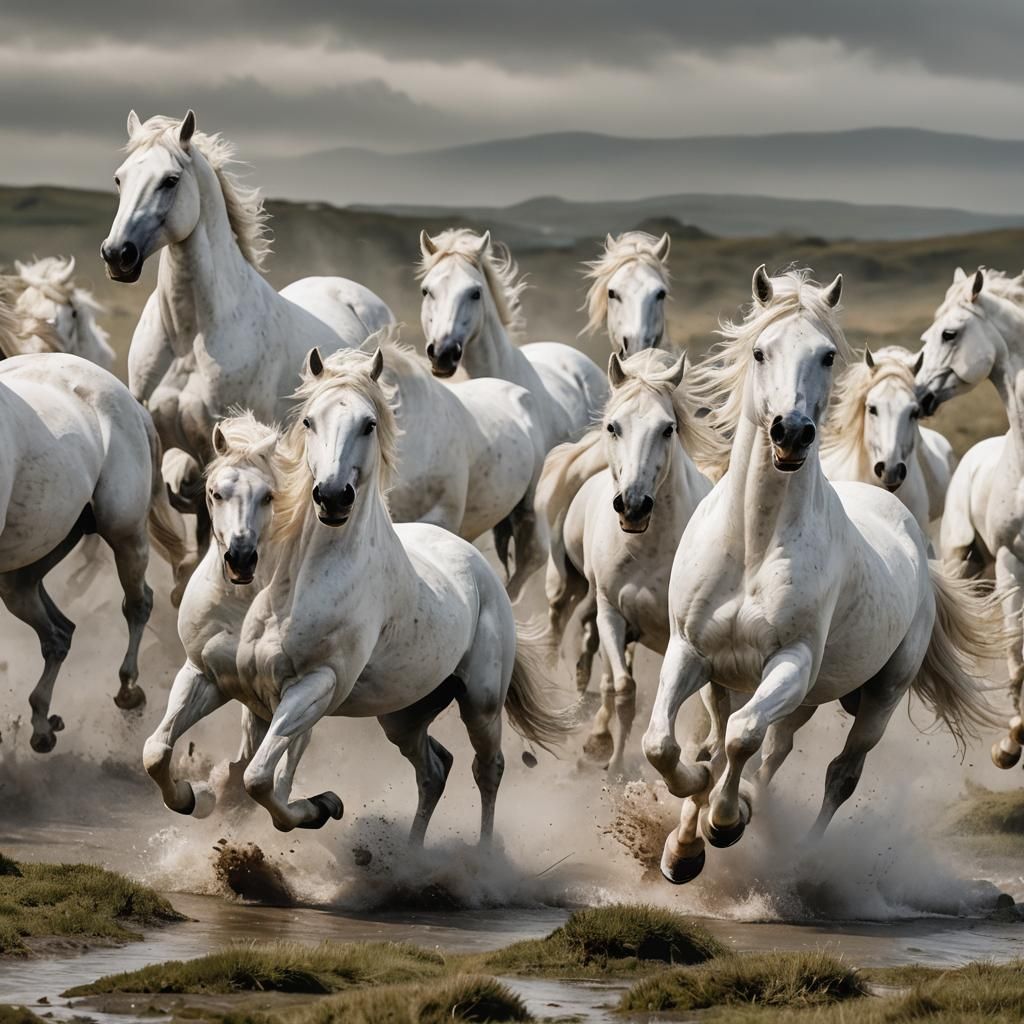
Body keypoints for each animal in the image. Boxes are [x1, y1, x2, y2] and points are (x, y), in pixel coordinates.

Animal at [0, 335, 188, 752]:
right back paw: (43, 726)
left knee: (137, 604)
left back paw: (127, 691)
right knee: (58, 635)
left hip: (125, 533)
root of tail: (129, 400)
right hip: (24, 571)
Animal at [101, 110, 394, 471]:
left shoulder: (220, 444)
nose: (117, 255)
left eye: (170, 180)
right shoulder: (161, 440)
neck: (188, 337)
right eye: (119, 179)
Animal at [144, 342, 572, 843]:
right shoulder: (207, 675)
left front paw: (320, 806)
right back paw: (411, 854)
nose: (332, 496)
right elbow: (159, 751)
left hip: (481, 703)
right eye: (310, 421)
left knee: (488, 769)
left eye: (368, 424)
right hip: (404, 714)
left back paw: (481, 856)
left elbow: (262, 779)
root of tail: (479, 567)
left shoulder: (314, 685)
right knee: (434, 770)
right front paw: (194, 797)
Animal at [544, 348, 726, 776]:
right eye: (613, 426)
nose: (633, 505)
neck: (650, 547)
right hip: (572, 583)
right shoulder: (611, 612)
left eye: (668, 429)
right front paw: (613, 765)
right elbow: (624, 690)